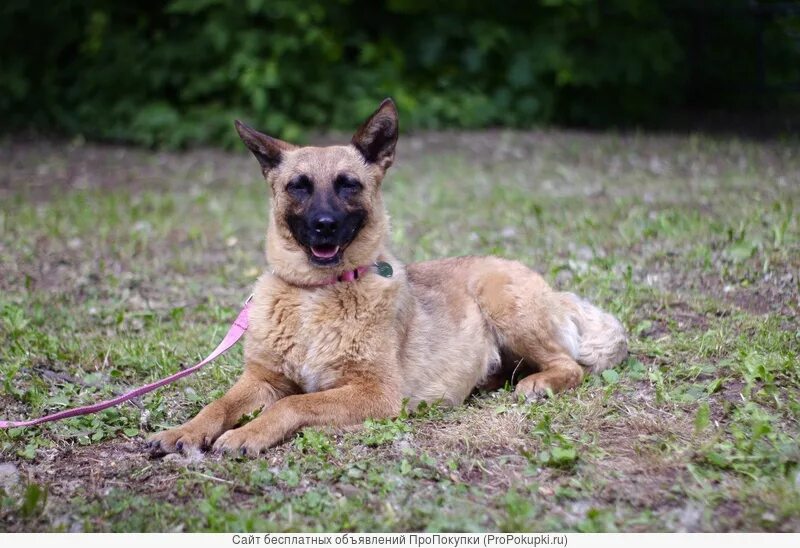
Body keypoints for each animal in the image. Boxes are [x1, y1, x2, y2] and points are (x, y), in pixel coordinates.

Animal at [147, 97, 628, 454]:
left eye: (348, 184)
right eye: (298, 186)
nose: (324, 226)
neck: (317, 293)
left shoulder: (375, 392)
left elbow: (292, 405)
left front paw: (246, 434)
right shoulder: (261, 380)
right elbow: (218, 404)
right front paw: (184, 430)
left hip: (504, 304)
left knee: (569, 365)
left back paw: (538, 383)